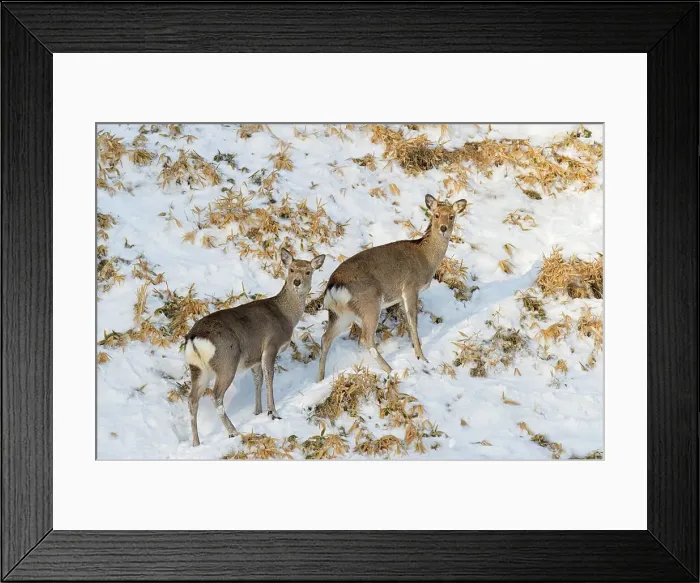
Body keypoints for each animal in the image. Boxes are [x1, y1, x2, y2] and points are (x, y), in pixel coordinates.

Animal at [184, 247, 325, 446]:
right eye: (291, 269)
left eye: (308, 271)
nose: (297, 282)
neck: (286, 316)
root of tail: (193, 338)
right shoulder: (271, 344)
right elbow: (269, 377)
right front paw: (273, 412)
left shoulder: (254, 358)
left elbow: (258, 380)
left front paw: (257, 412)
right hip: (226, 361)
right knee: (216, 396)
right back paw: (233, 432)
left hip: (197, 369)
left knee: (192, 400)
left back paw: (196, 443)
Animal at [317, 194, 467, 381]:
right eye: (437, 215)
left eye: (452, 216)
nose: (443, 228)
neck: (426, 260)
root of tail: (333, 286)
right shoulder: (410, 287)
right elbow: (413, 323)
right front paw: (422, 358)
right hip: (370, 303)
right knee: (365, 338)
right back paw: (392, 370)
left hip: (341, 314)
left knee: (325, 338)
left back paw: (319, 378)